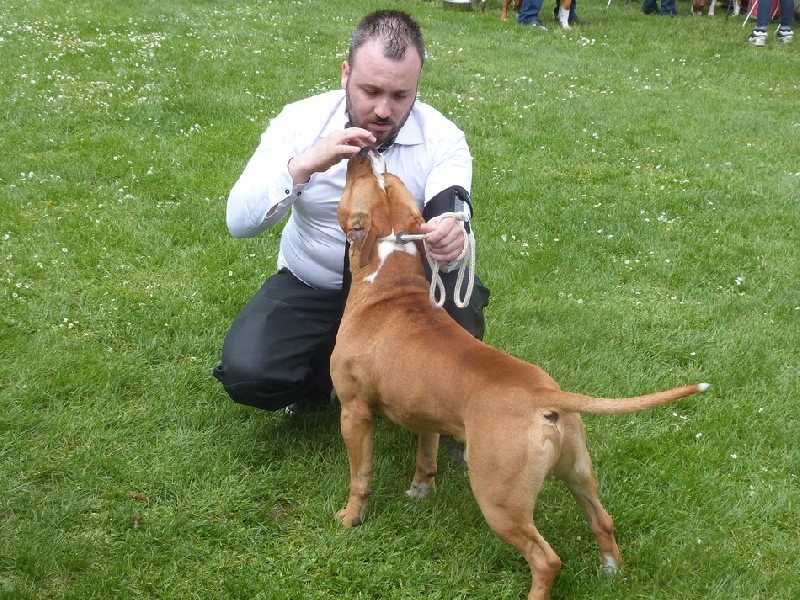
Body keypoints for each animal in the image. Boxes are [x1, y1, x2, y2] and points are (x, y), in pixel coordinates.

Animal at [331, 147, 709, 600]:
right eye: (386, 177)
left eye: (363, 178)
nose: (366, 150)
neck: (388, 276)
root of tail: (542, 395)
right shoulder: (425, 414)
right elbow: (426, 453)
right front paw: (421, 489)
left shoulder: (354, 412)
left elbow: (359, 476)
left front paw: (350, 517)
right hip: (578, 472)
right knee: (602, 519)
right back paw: (611, 570)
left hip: (499, 500)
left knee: (546, 559)